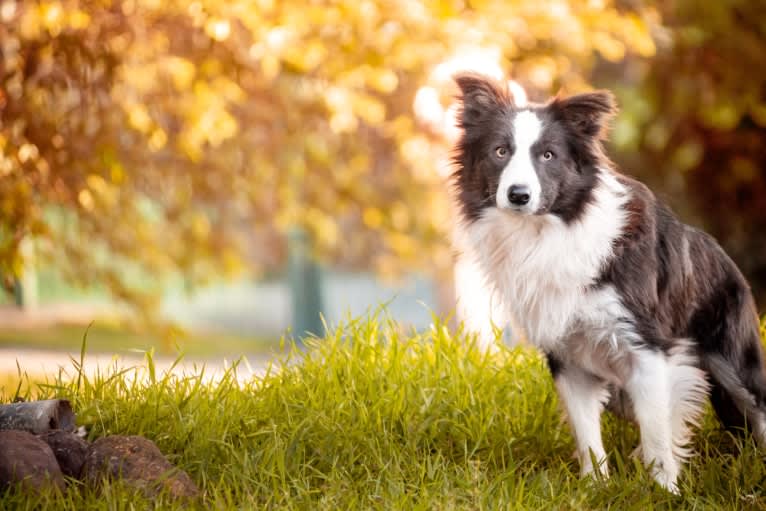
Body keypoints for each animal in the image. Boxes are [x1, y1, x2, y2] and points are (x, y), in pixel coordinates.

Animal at [452, 72, 764, 492]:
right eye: (500, 151)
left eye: (548, 155)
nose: (518, 195)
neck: (546, 235)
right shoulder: (566, 354)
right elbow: (586, 430)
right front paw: (595, 486)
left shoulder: (647, 345)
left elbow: (657, 430)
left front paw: (665, 490)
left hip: (736, 360)